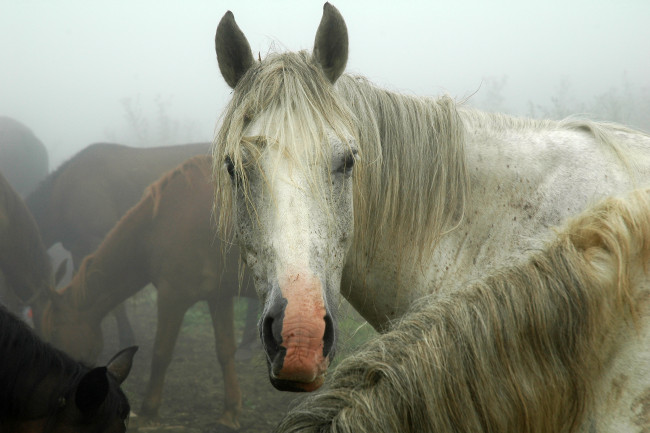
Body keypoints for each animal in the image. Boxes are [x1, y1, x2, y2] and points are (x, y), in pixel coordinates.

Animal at [42, 156, 253, 432]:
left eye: (55, 332)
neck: (159, 224)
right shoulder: (219, 297)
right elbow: (225, 350)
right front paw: (230, 412)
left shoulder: (172, 297)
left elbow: (160, 353)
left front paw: (149, 411)